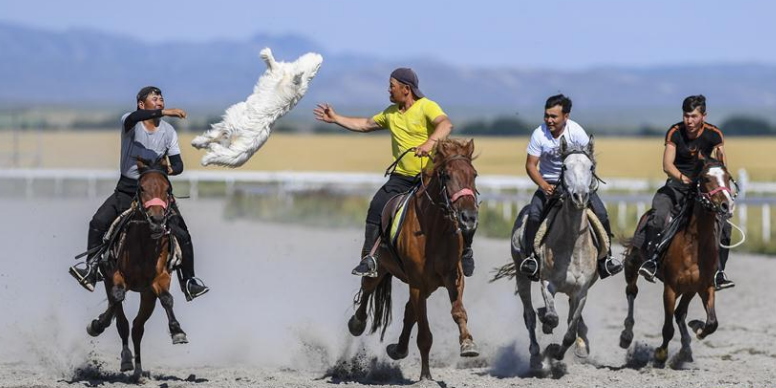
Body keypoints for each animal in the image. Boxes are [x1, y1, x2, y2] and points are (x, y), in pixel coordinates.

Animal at [85, 158, 188, 382]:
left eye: (167, 189)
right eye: (142, 188)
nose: (157, 220)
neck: (143, 243)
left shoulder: (159, 280)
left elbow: (167, 298)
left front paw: (177, 331)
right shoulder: (115, 276)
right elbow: (117, 300)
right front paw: (97, 324)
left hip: (147, 295)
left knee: (137, 327)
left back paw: (138, 371)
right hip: (110, 281)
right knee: (122, 319)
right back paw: (125, 358)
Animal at [192, 47, 322, 167]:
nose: (318, 55)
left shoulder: (279, 75)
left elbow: (274, 64)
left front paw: (266, 53)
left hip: (232, 140)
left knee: (214, 144)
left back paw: (203, 150)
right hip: (231, 146)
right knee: (212, 143)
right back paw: (198, 145)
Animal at [348, 138, 478, 380]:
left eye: (474, 175)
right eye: (447, 175)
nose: (469, 217)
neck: (433, 229)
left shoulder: (453, 277)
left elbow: (458, 311)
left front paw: (468, 344)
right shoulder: (417, 282)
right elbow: (424, 335)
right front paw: (425, 377)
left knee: (410, 311)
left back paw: (398, 349)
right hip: (382, 269)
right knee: (368, 288)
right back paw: (357, 324)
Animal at [494, 136, 604, 372]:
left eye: (590, 167)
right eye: (564, 166)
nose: (580, 196)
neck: (572, 245)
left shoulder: (581, 291)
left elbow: (571, 328)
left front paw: (561, 351)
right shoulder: (547, 283)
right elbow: (552, 317)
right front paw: (548, 335)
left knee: (572, 319)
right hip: (522, 275)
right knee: (528, 316)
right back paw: (536, 355)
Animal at [620, 156, 736, 366]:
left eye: (728, 177)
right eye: (706, 178)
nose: (727, 205)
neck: (694, 243)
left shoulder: (705, 286)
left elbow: (712, 323)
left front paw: (697, 327)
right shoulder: (670, 288)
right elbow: (667, 328)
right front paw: (660, 354)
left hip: (689, 289)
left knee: (680, 313)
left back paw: (686, 350)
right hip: (632, 264)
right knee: (632, 292)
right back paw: (626, 336)